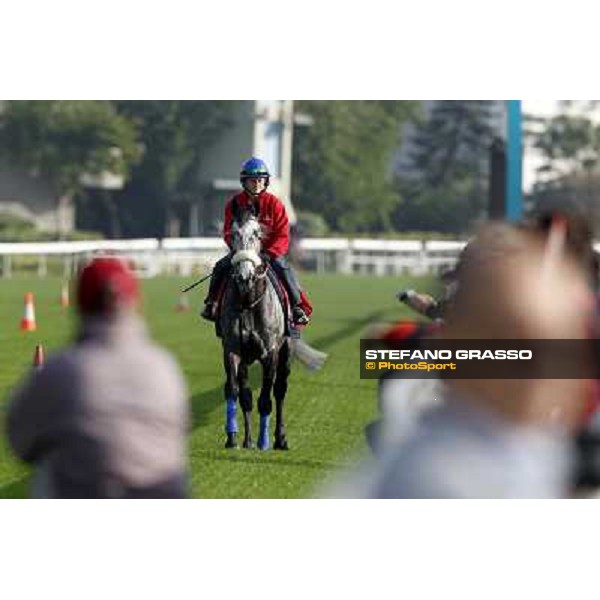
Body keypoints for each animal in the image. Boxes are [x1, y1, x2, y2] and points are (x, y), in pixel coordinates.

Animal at [218, 209, 290, 448]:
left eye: (257, 234)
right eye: (233, 233)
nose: (244, 276)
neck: (248, 302)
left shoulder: (270, 353)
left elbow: (266, 398)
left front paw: (264, 441)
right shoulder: (232, 349)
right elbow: (235, 391)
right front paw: (233, 437)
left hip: (286, 350)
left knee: (280, 390)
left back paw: (280, 439)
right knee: (246, 394)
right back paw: (248, 439)